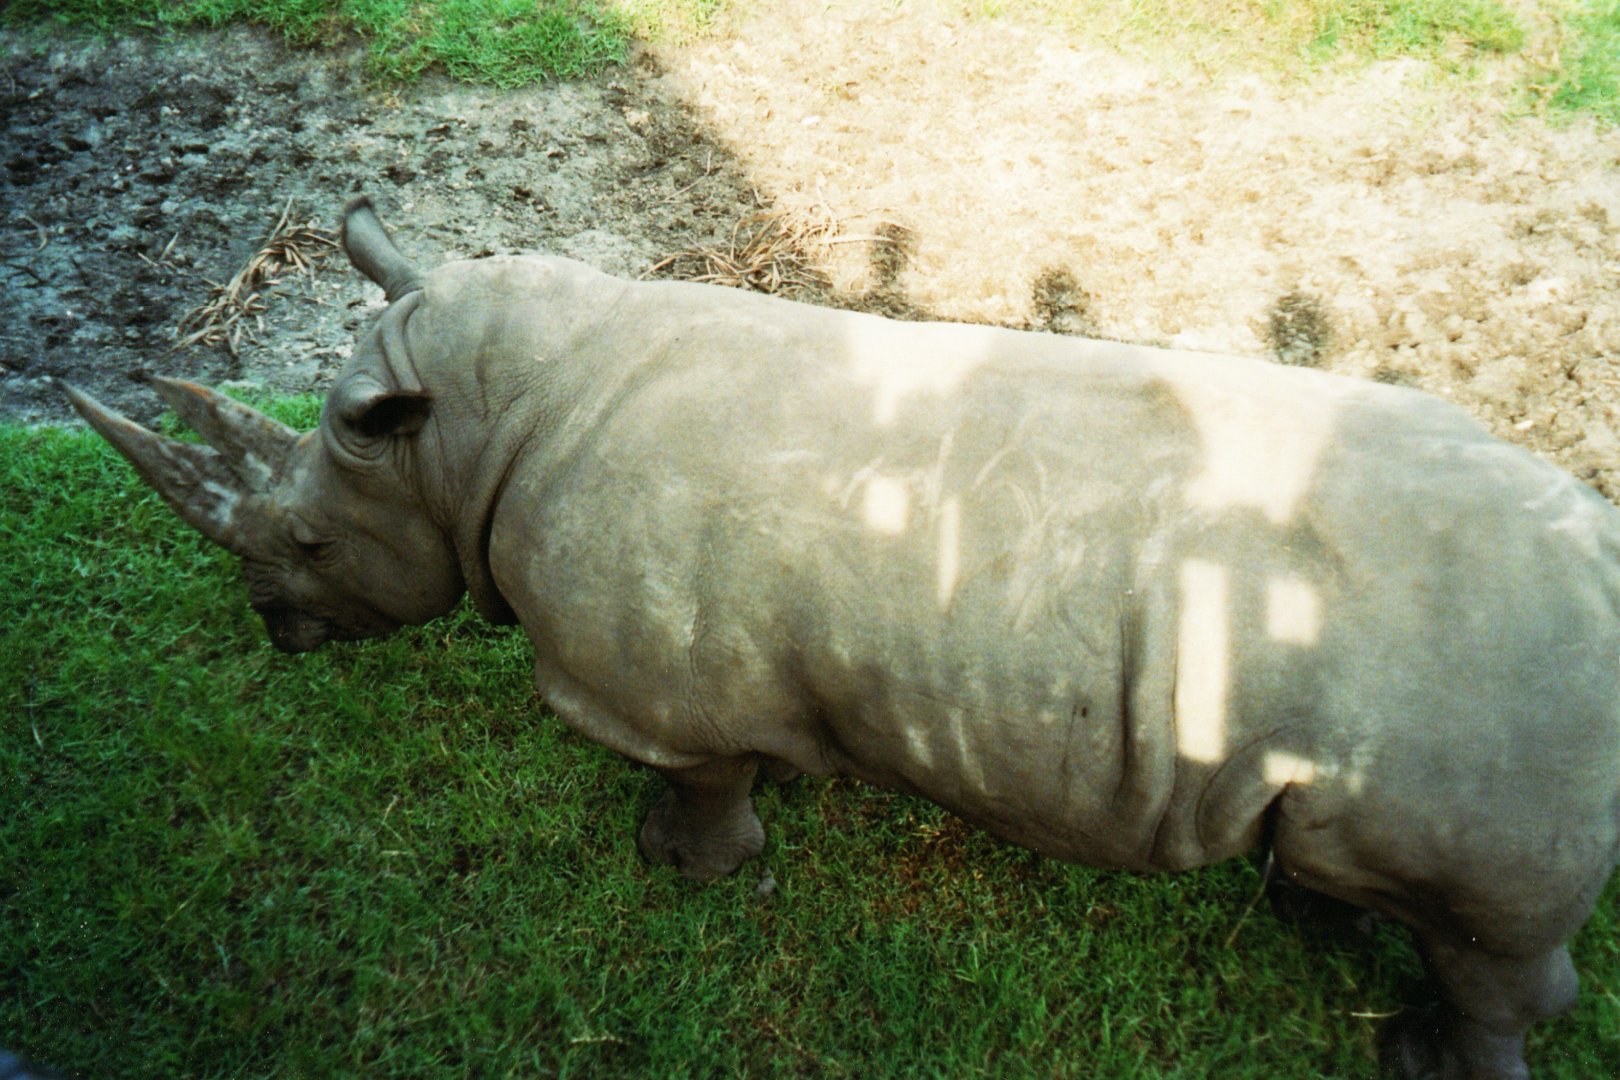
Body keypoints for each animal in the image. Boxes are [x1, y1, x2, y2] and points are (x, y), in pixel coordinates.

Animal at [65, 198, 1619, 1079]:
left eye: (312, 549)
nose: (273, 629)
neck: (473, 426)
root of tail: (1603, 567)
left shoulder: (662, 695)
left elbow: (698, 784)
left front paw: (684, 875)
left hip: (1501, 692)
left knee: (1482, 933)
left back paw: (1417, 1050)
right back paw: (1328, 918)